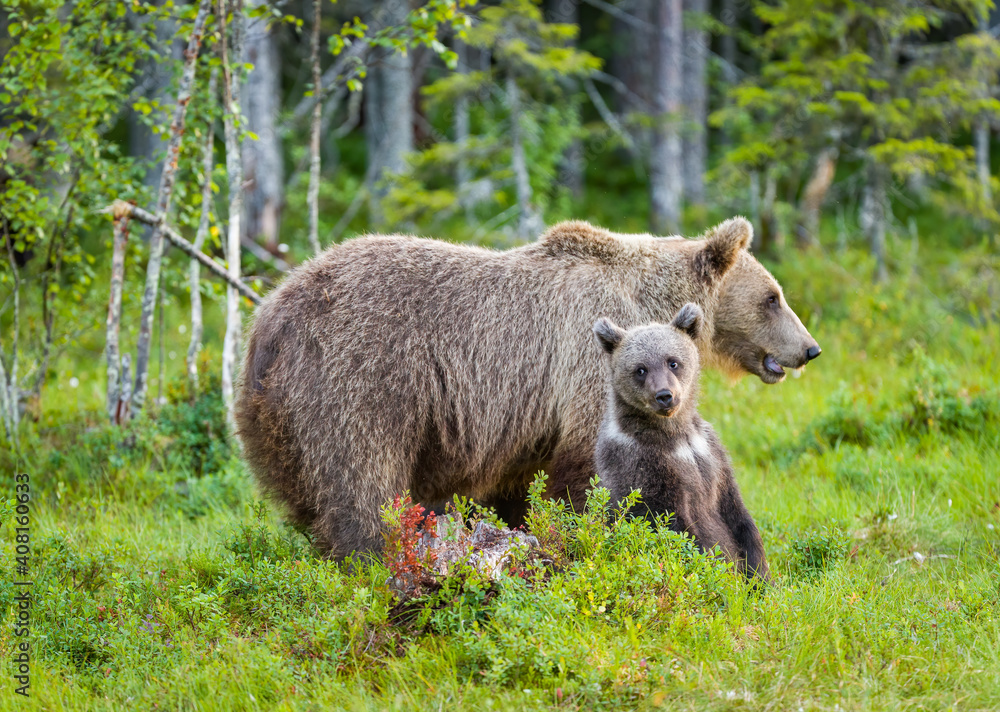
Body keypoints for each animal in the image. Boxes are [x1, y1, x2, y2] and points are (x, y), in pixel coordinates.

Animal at [593, 305, 770, 581]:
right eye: (640, 369)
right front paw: (721, 575)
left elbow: (735, 510)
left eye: (672, 361)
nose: (665, 395)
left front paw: (760, 575)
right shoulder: (641, 462)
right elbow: (672, 522)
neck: (674, 434)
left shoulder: (709, 450)